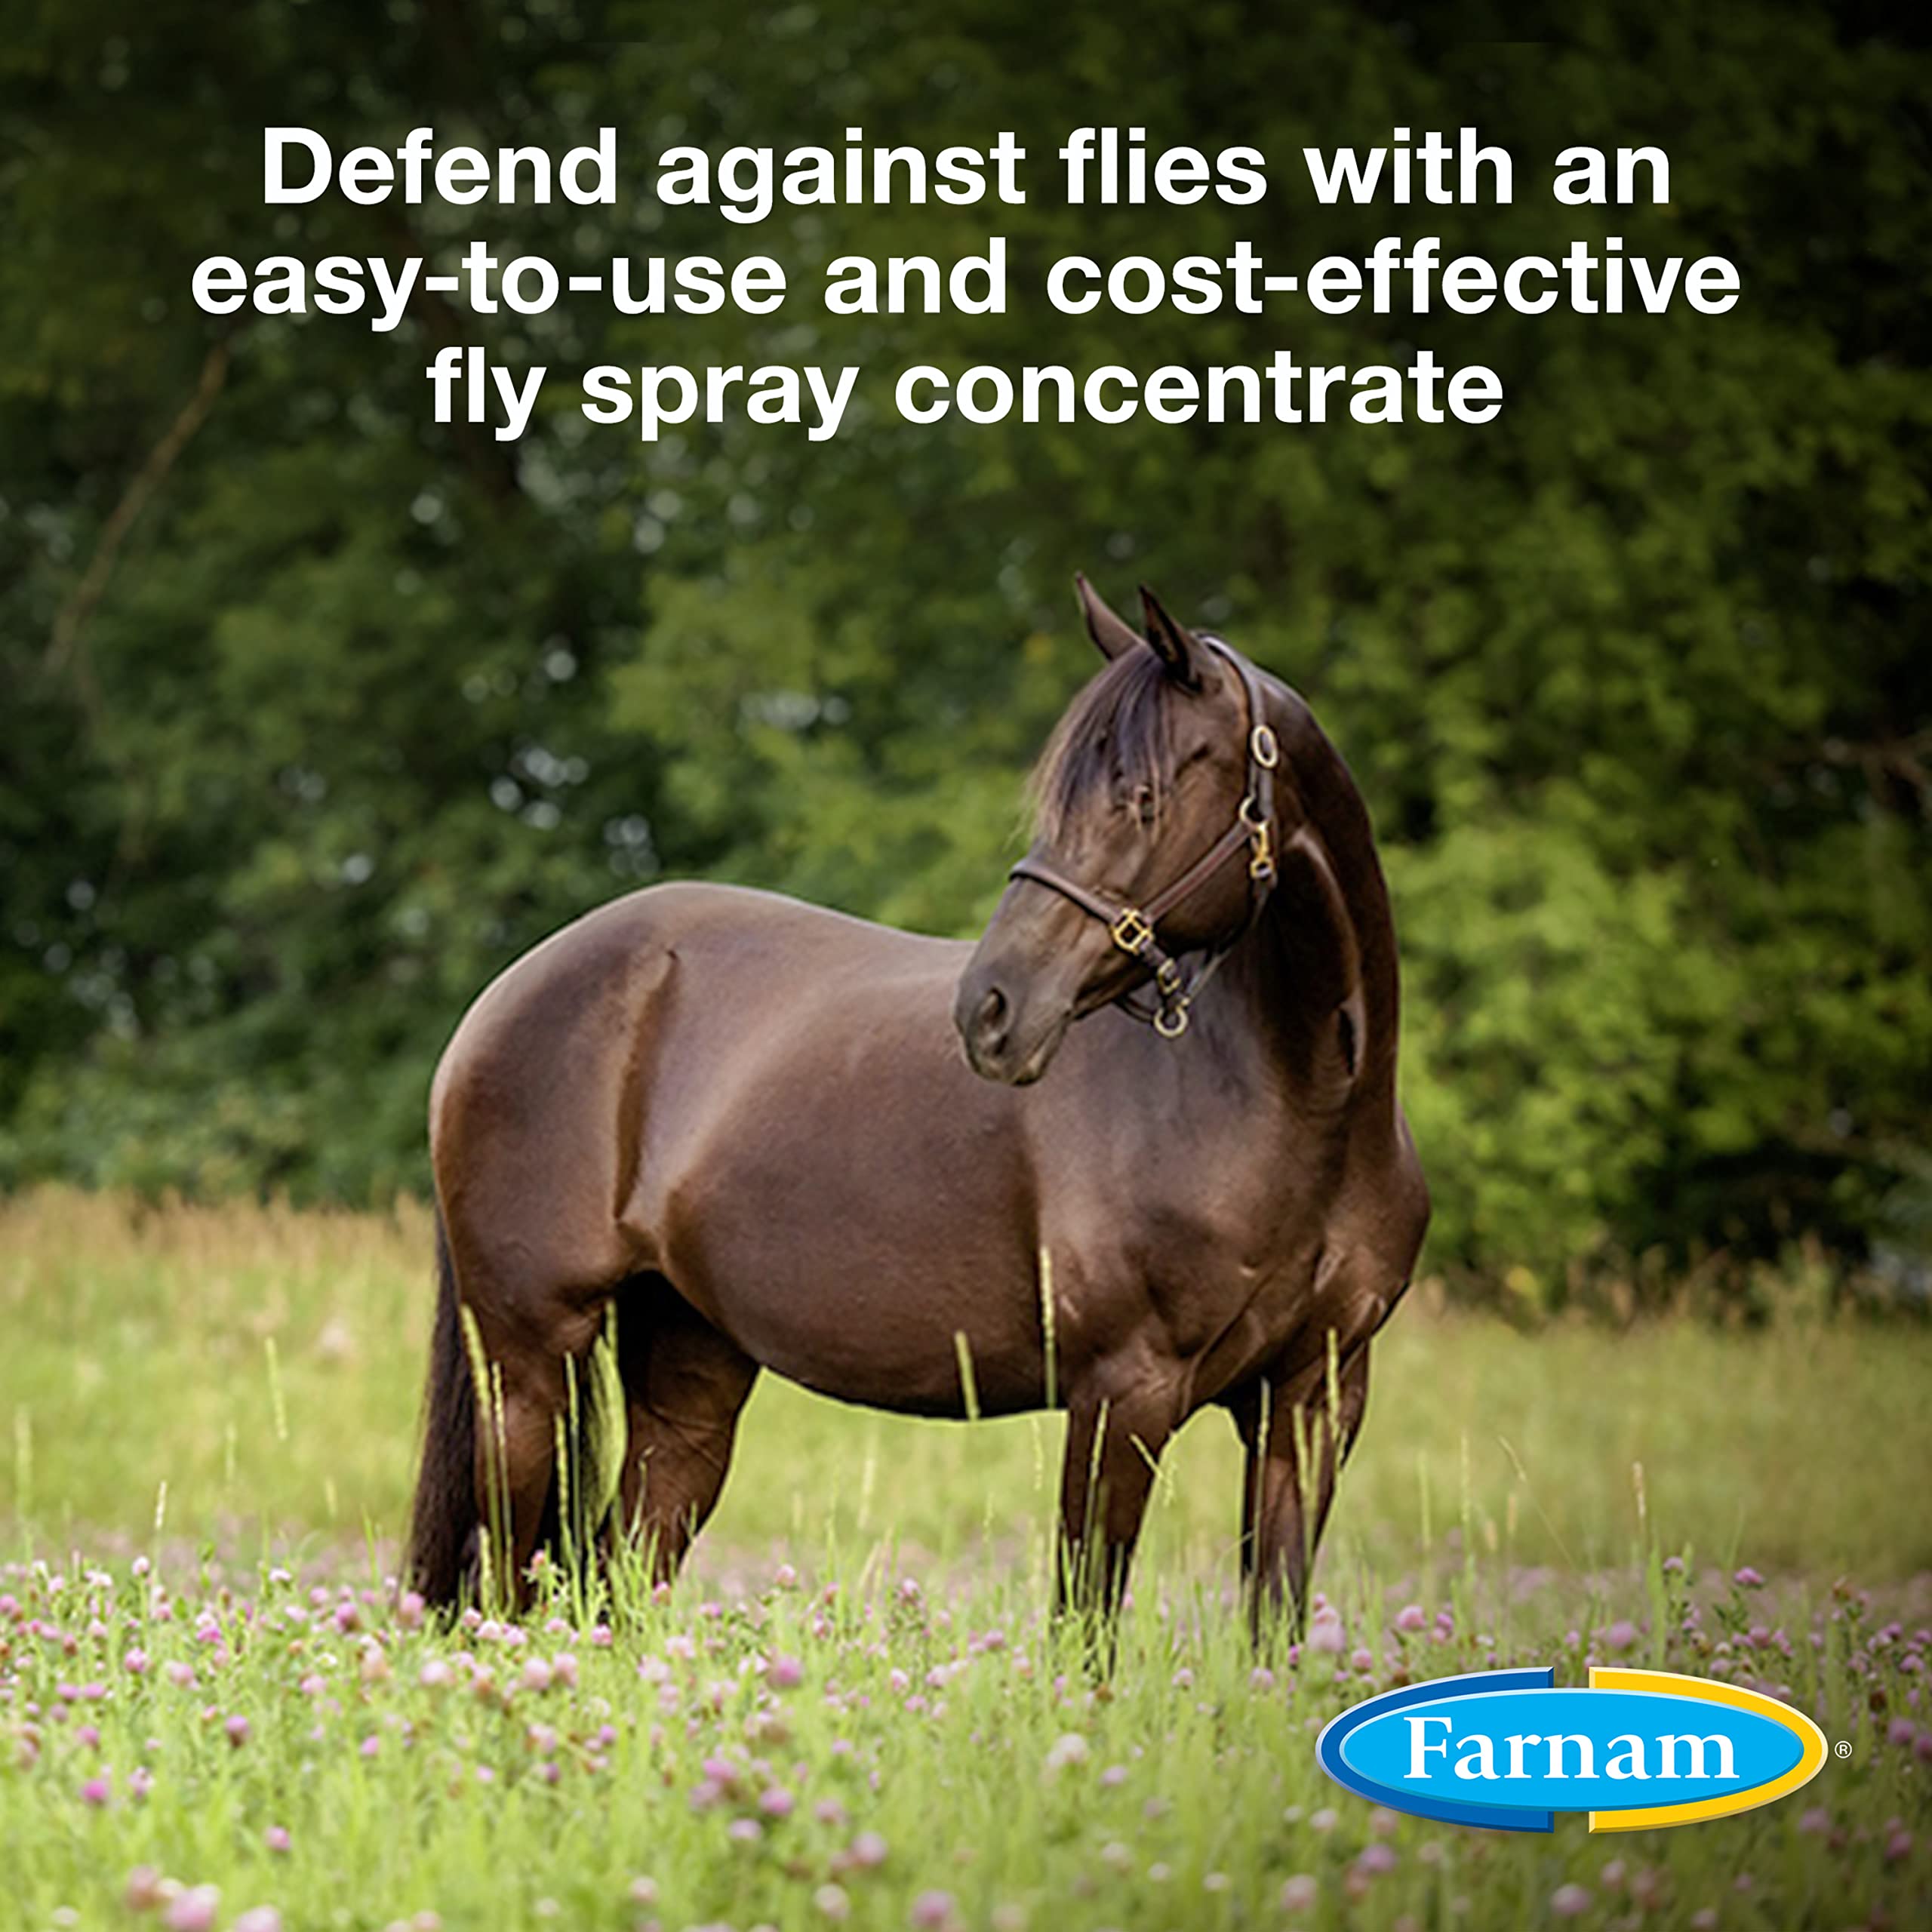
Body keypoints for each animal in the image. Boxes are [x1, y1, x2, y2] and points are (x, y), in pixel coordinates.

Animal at [406, 577, 1428, 1633]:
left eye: (1142, 797)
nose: (993, 1007)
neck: (1301, 1107)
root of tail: (505, 995)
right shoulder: (1124, 1391)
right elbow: (1084, 1625)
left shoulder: (1311, 1401)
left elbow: (1274, 1622)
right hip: (528, 1366)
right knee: (501, 1583)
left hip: (688, 1376)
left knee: (623, 1578)